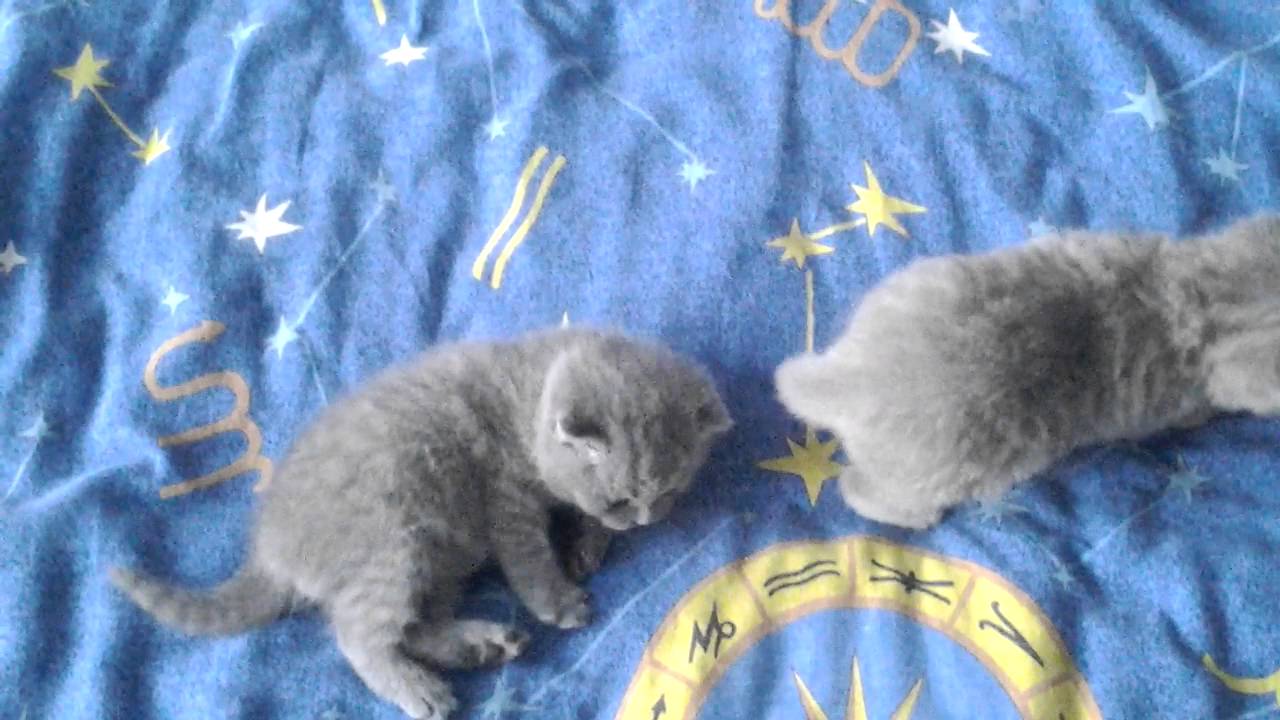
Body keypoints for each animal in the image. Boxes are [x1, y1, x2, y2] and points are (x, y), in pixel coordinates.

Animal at [110, 326, 733, 719]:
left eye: (669, 493)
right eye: (622, 500)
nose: (643, 522)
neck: (529, 385)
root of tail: (268, 551)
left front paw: (587, 545)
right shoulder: (506, 502)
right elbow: (529, 558)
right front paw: (559, 597)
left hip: (442, 557)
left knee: (415, 626)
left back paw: (480, 644)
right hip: (396, 544)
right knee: (359, 635)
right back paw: (418, 688)